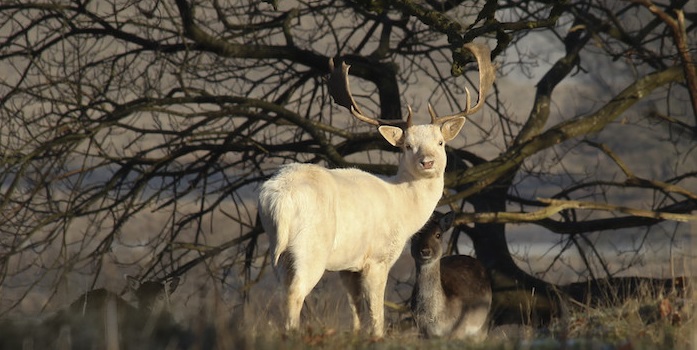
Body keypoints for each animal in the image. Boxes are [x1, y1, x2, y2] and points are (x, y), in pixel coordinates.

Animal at [410, 212, 492, 340]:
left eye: (438, 235)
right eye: (416, 234)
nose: (425, 251)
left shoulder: (459, 330)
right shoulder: (421, 332)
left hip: (483, 324)